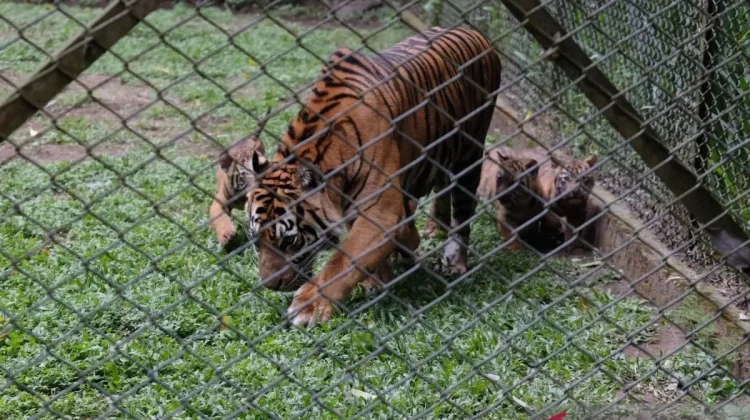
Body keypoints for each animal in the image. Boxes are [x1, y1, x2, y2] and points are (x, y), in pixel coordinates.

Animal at [237, 27, 502, 327]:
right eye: (255, 240)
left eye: (290, 241)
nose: (271, 285)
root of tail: (475, 31)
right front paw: (378, 279)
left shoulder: (380, 211)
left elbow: (345, 259)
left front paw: (310, 306)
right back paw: (433, 227)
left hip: (470, 153)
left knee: (463, 212)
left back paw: (455, 262)